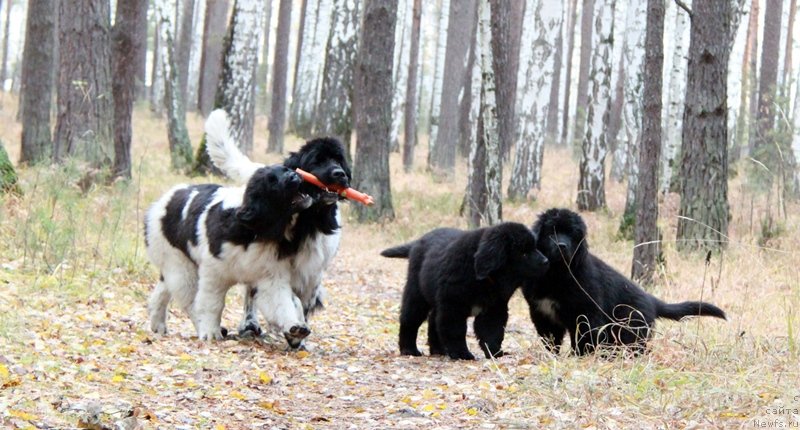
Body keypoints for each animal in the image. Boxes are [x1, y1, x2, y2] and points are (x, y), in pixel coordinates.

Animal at [145, 164, 314, 346]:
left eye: (286, 169)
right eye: (272, 181)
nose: (294, 175)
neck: (255, 231)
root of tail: (161, 203)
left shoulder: (270, 276)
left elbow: (281, 303)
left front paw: (295, 326)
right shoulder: (214, 273)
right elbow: (212, 303)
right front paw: (211, 333)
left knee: (163, 290)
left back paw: (158, 324)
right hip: (180, 264)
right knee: (190, 300)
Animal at [203, 110, 350, 342]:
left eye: (339, 160)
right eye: (317, 160)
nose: (339, 174)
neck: (305, 222)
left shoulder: (312, 273)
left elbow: (303, 302)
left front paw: (298, 337)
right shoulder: (272, 265)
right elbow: (285, 297)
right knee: (251, 292)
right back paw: (250, 324)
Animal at [382, 223, 552, 362]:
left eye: (535, 247)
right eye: (523, 253)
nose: (546, 261)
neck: (484, 278)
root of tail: (417, 242)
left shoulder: (494, 308)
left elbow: (492, 331)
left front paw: (495, 353)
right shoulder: (453, 306)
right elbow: (455, 331)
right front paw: (462, 354)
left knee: (432, 321)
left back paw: (439, 350)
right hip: (417, 293)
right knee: (409, 319)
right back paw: (409, 350)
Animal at [520, 208, 728, 356]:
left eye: (572, 234)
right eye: (551, 232)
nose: (561, 246)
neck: (557, 274)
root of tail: (651, 299)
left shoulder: (586, 313)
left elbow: (584, 339)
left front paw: (580, 358)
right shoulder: (541, 312)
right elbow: (551, 340)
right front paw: (552, 357)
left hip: (629, 327)